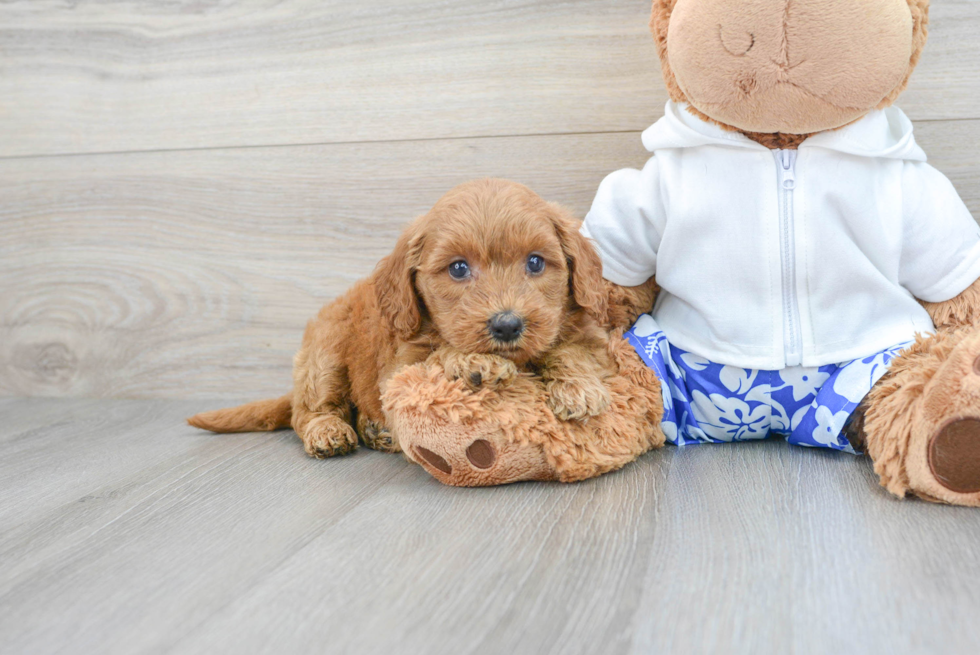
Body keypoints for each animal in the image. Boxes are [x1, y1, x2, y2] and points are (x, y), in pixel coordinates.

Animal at [188, 177, 628, 458]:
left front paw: (578, 387)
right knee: (308, 411)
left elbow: (569, 349)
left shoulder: (591, 338)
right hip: (323, 353)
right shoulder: (400, 366)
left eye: (536, 263)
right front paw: (474, 361)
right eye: (458, 269)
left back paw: (374, 430)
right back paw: (330, 431)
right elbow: (437, 353)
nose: (506, 325)